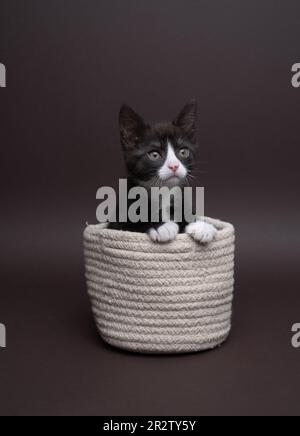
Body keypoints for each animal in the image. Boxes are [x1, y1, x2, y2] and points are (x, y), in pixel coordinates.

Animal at [109, 100, 217, 244]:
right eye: (154, 155)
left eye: (183, 152)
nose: (174, 166)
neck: (163, 191)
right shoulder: (118, 221)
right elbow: (133, 222)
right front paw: (162, 226)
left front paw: (201, 226)